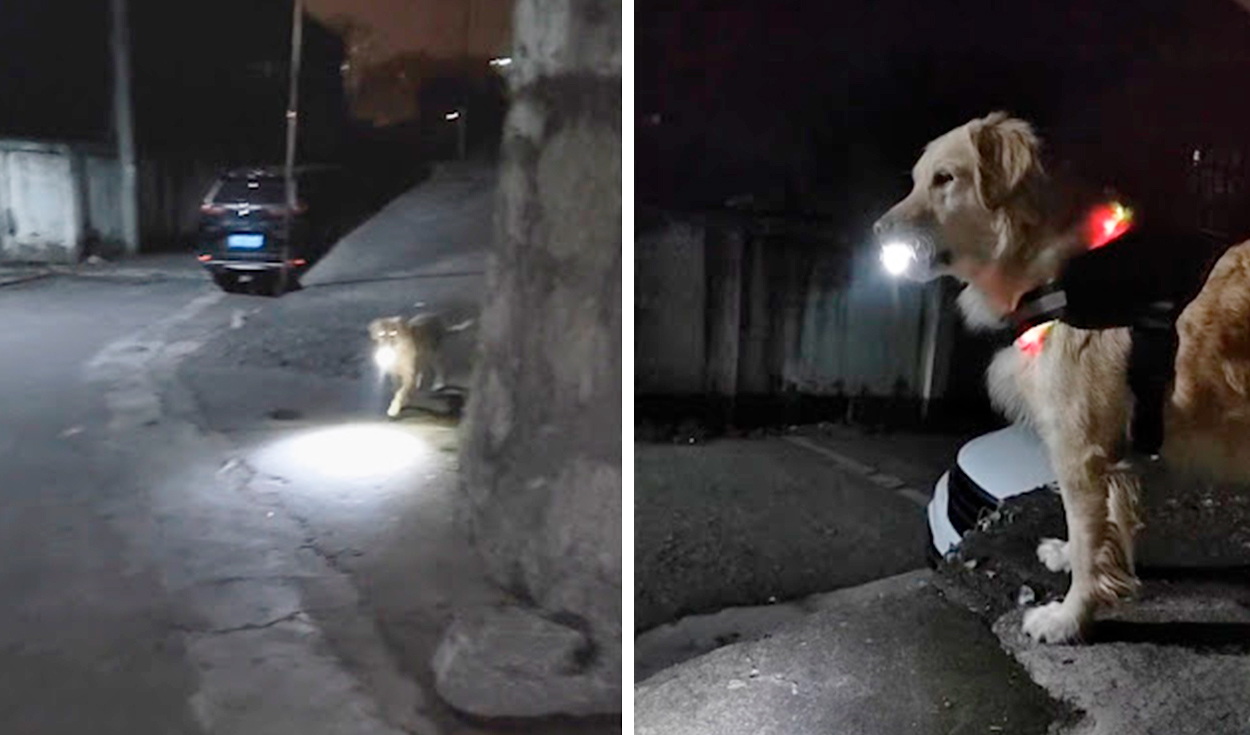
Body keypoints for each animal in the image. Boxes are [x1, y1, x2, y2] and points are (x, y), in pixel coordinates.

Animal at [870, 110, 1250, 645]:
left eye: (945, 179)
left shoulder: (1081, 450)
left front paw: (1070, 618)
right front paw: (1075, 560)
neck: (1056, 273)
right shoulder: (1110, 451)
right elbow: (1107, 525)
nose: (877, 233)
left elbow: (1091, 541)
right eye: (917, 180)